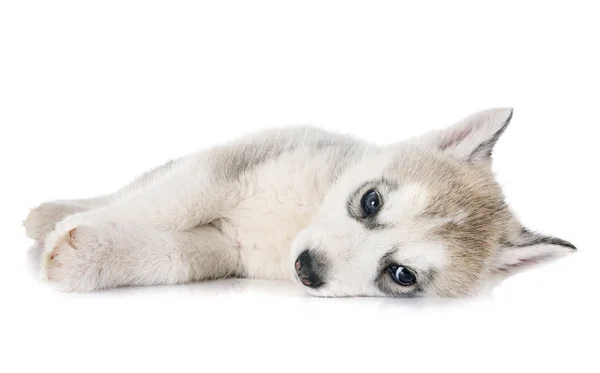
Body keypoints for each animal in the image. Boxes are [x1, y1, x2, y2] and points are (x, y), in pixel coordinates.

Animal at [23, 107, 576, 296]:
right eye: (370, 201)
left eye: (401, 275)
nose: (307, 270)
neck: (296, 220)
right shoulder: (223, 173)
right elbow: (162, 206)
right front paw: (66, 235)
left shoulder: (226, 249)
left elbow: (173, 255)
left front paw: (88, 258)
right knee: (131, 188)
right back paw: (47, 215)